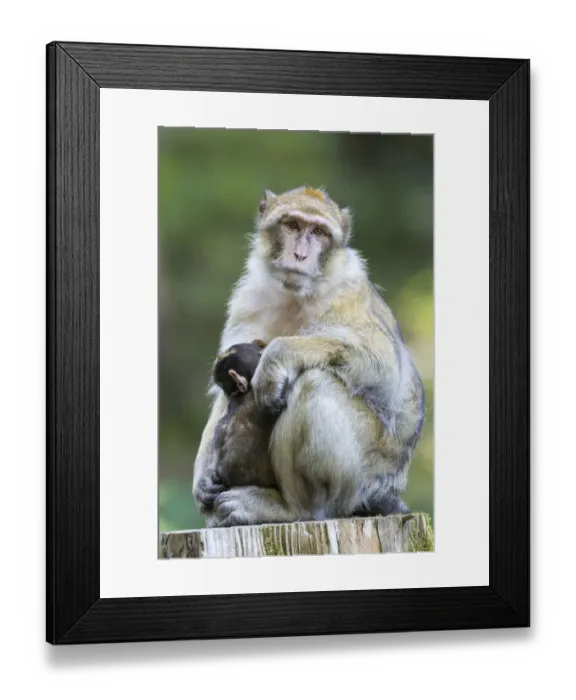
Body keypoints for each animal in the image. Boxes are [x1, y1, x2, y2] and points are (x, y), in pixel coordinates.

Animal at [192, 185, 425, 528]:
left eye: (318, 232)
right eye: (292, 225)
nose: (300, 254)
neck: (296, 297)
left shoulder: (349, 292)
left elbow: (384, 369)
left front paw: (276, 356)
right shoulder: (248, 300)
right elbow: (224, 394)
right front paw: (202, 477)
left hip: (362, 478)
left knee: (315, 383)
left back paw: (292, 508)